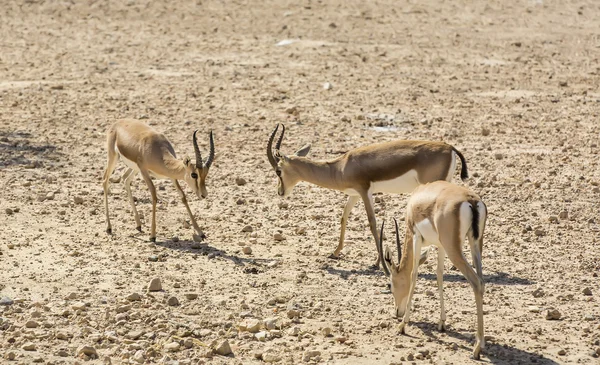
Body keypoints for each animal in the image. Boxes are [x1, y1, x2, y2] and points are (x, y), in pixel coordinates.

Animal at [268, 123, 468, 268]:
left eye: (278, 170)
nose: (280, 192)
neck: (340, 167)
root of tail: (450, 147)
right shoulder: (354, 194)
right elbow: (344, 217)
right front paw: (335, 253)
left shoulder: (364, 191)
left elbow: (372, 223)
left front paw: (376, 263)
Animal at [380, 179, 488, 358]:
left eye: (390, 285)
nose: (397, 312)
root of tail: (471, 200)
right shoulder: (440, 245)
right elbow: (439, 275)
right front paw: (442, 323)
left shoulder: (415, 236)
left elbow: (414, 275)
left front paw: (403, 325)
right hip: (475, 244)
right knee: (482, 281)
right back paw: (481, 344)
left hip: (454, 248)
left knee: (476, 282)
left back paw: (477, 348)